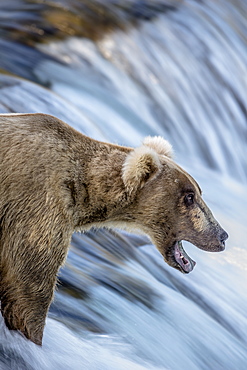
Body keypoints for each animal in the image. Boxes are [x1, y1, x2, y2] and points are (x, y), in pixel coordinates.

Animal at [0, 114, 228, 346]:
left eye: (199, 191)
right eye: (189, 197)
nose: (222, 236)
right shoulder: (38, 202)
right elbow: (30, 283)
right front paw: (31, 337)